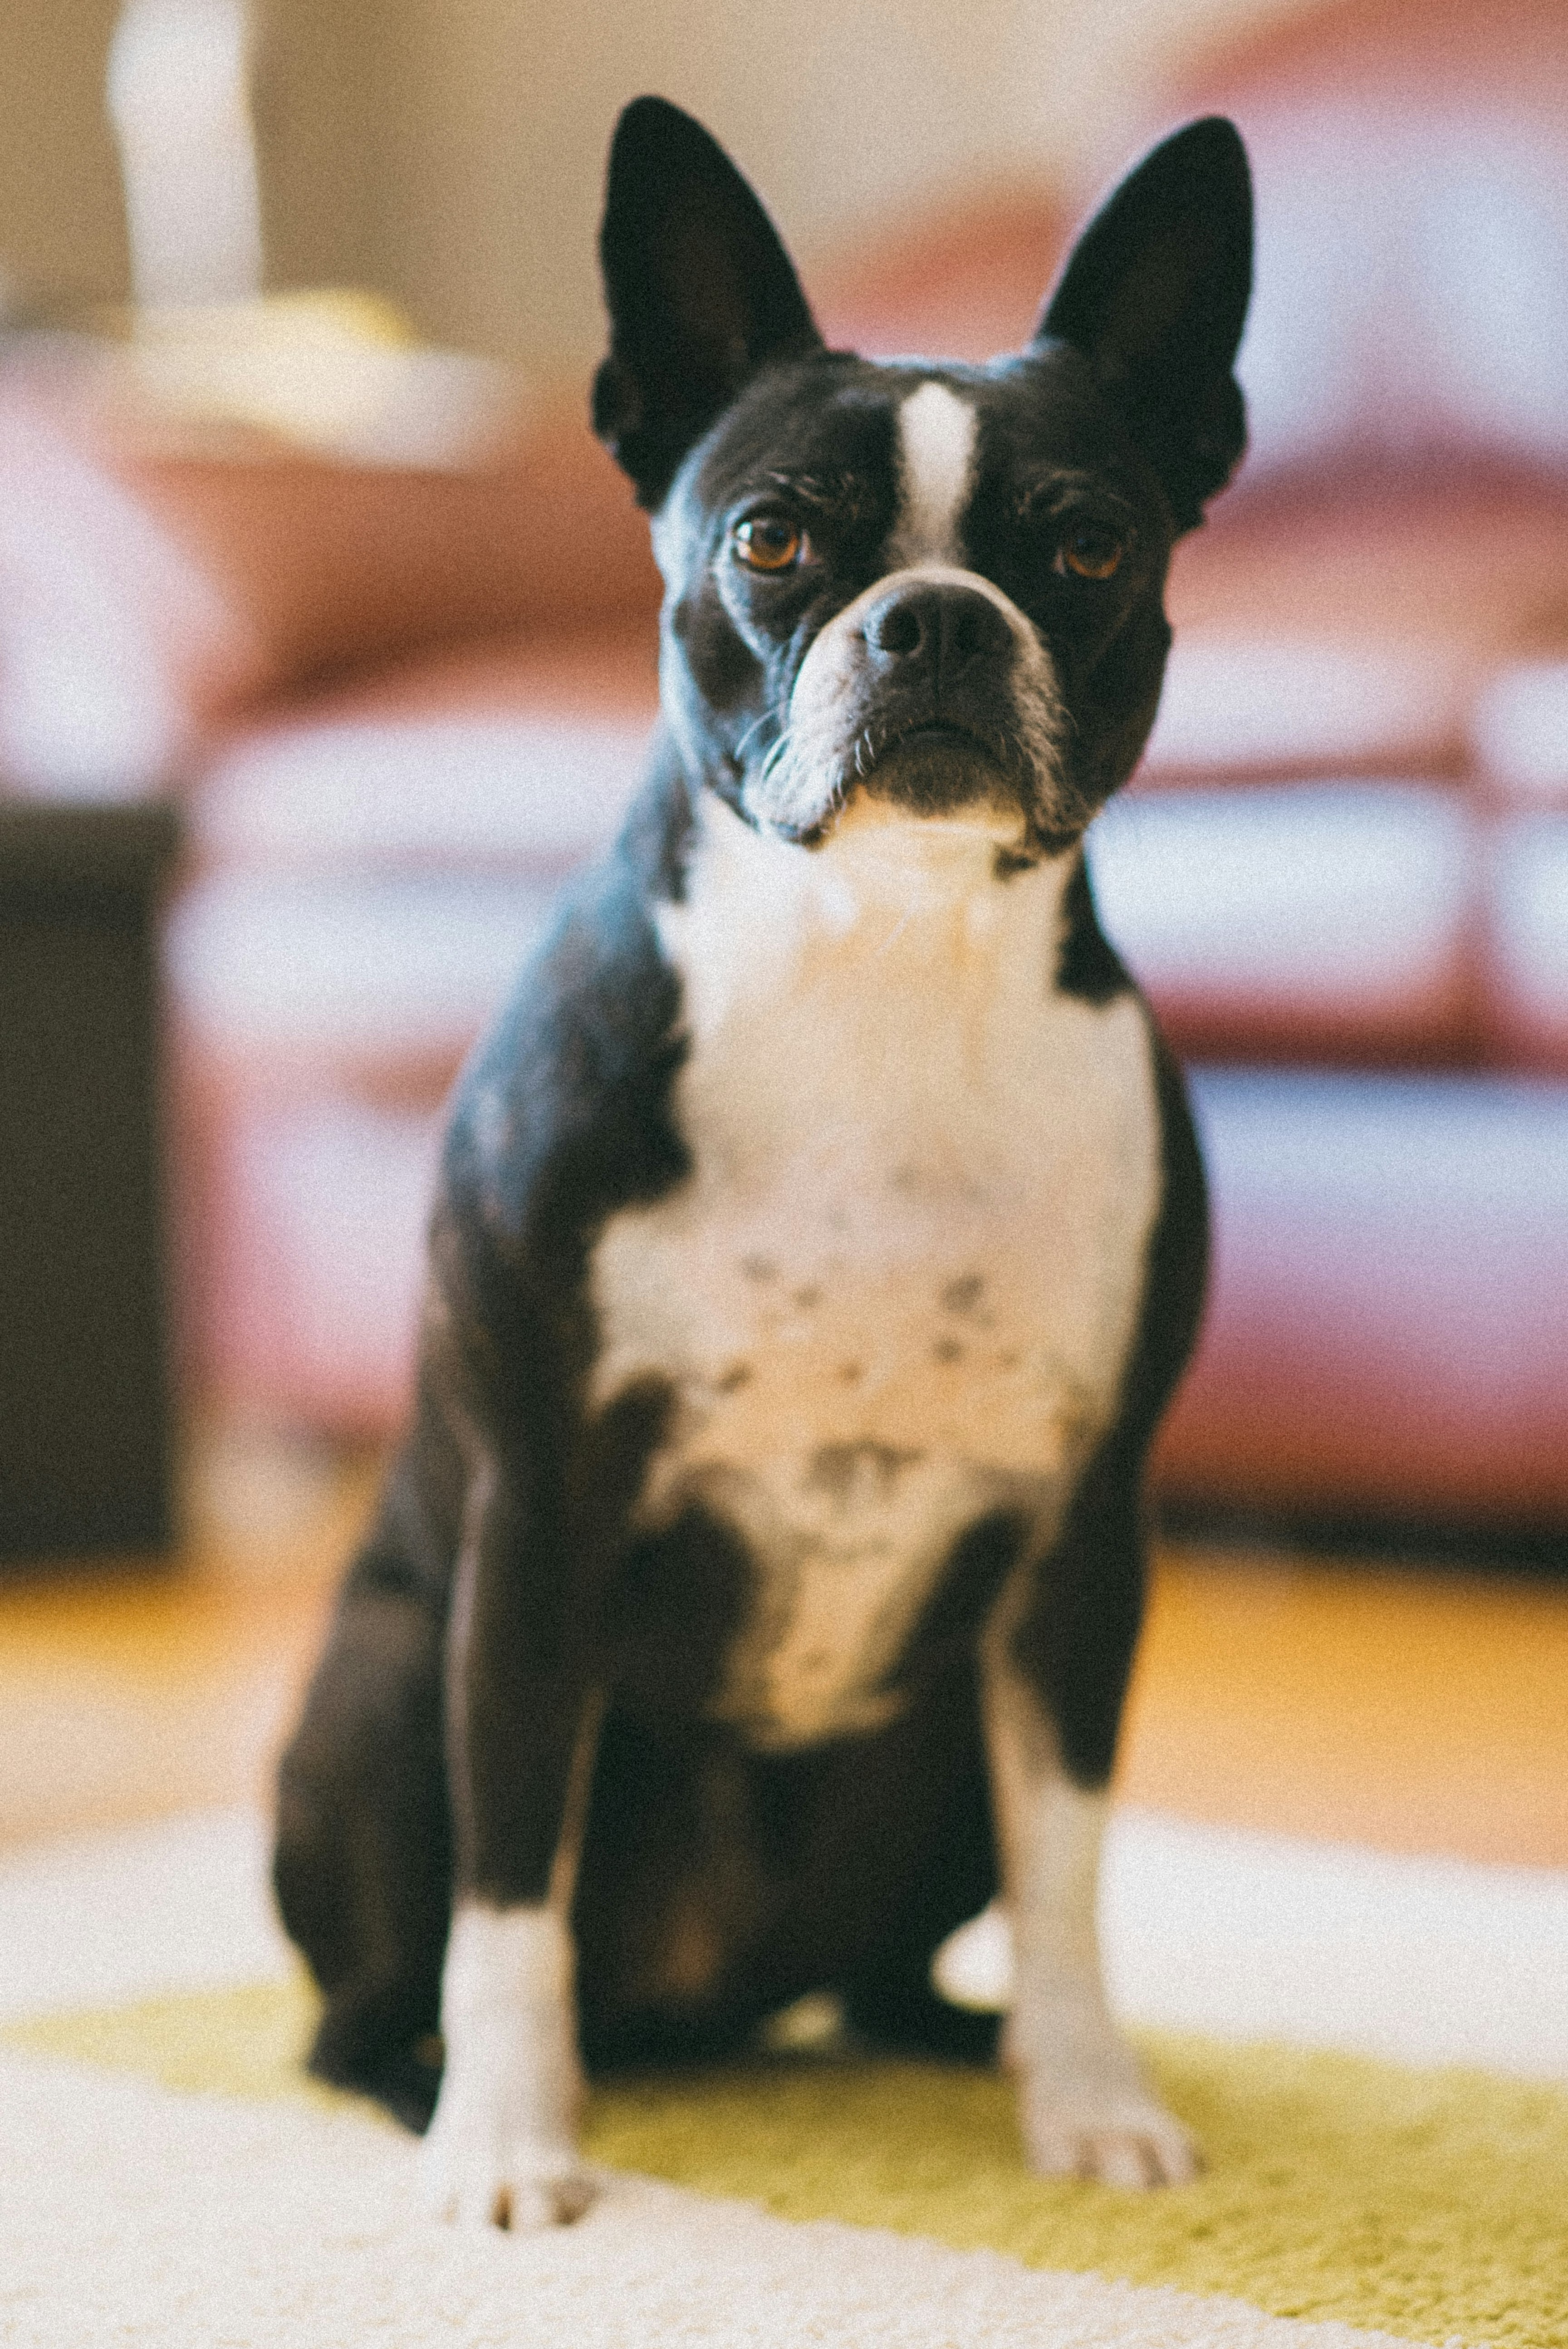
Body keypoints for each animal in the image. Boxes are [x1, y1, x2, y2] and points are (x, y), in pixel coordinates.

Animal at [270, 96, 1249, 2217]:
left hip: (935, 1742)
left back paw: (964, 2049)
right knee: (373, 1993)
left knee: (900, 1956)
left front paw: (1087, 2097)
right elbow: (506, 1891)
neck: (879, 951)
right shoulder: (533, 1532)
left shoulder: (1081, 1553)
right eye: (771, 538)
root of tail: (707, 1998)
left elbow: (1069, 1867)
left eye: (1085, 542)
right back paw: (447, 2083)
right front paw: (507, 2139)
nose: (935, 615)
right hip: (381, 1691)